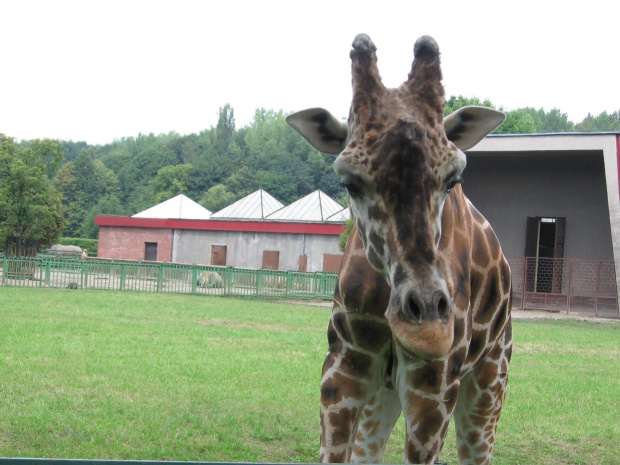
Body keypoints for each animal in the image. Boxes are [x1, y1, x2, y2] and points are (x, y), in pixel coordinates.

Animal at [288, 33, 512, 464]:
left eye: (453, 179)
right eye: (349, 182)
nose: (426, 331)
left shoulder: (435, 385)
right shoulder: (344, 367)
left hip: (490, 377)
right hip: (386, 391)